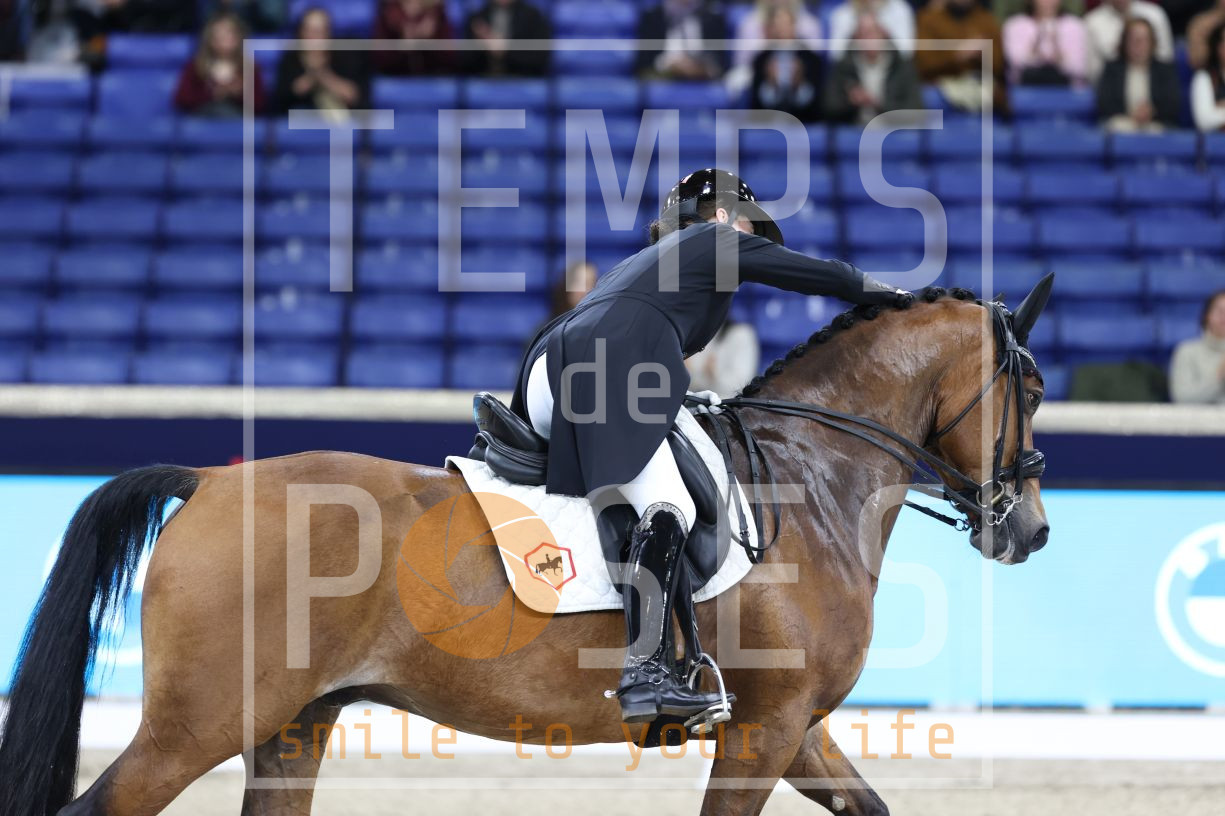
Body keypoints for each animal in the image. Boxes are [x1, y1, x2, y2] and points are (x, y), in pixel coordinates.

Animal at [0, 284, 1054, 816]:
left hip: (292, 726)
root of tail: (210, 481)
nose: (1031, 530)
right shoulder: (767, 727)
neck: (808, 480)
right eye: (1033, 387)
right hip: (199, 727)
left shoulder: (797, 728)